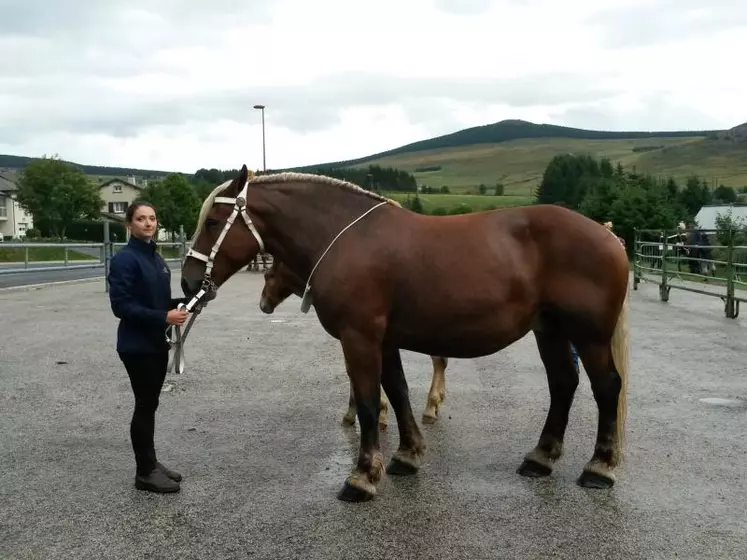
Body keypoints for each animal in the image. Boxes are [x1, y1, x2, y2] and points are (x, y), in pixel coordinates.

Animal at [262, 258, 450, 428]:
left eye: (268, 275)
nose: (263, 304)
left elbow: (353, 371)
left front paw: (362, 413)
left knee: (439, 361)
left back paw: (431, 407)